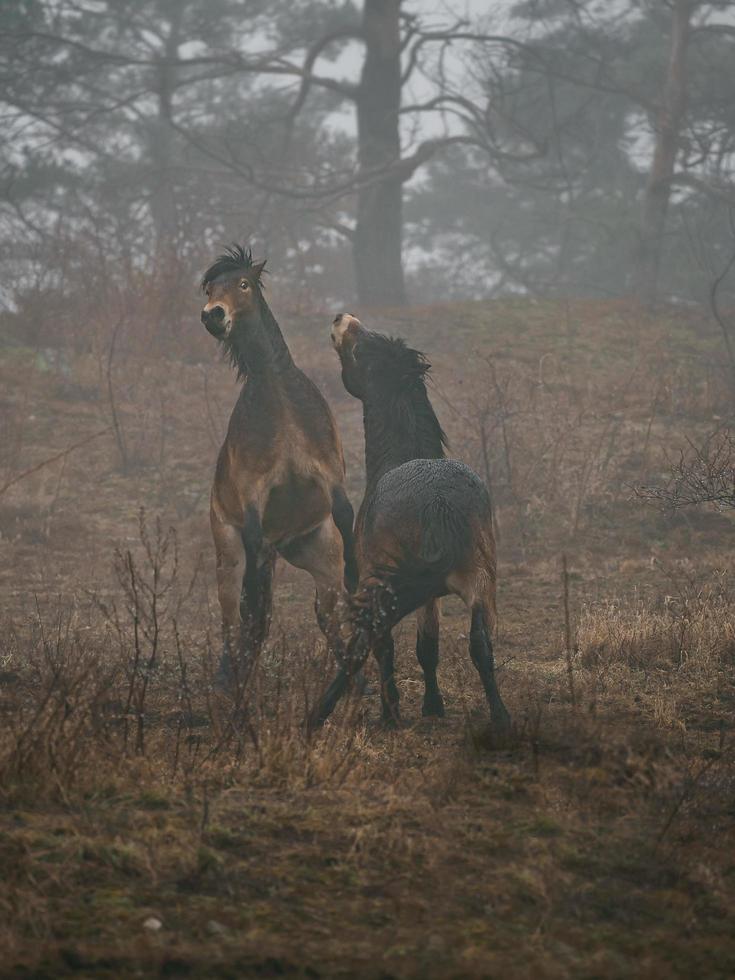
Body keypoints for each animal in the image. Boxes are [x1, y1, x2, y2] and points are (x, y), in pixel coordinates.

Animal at [200, 247, 358, 680]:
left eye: (243, 284)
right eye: (209, 289)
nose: (213, 315)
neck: (280, 398)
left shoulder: (330, 474)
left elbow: (345, 513)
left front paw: (357, 576)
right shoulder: (253, 493)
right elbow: (252, 603)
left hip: (318, 555)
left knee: (325, 615)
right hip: (229, 556)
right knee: (233, 617)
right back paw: (229, 671)